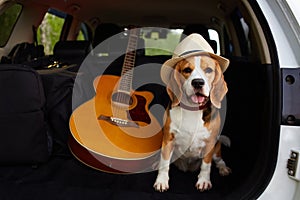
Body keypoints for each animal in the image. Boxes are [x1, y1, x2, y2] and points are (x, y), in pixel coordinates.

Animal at [154, 54, 231, 191]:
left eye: (209, 70)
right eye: (187, 70)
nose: (198, 82)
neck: (192, 109)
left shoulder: (209, 144)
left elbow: (206, 165)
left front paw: (204, 181)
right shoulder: (168, 139)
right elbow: (165, 163)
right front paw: (161, 181)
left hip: (216, 149)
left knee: (219, 161)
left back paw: (223, 169)